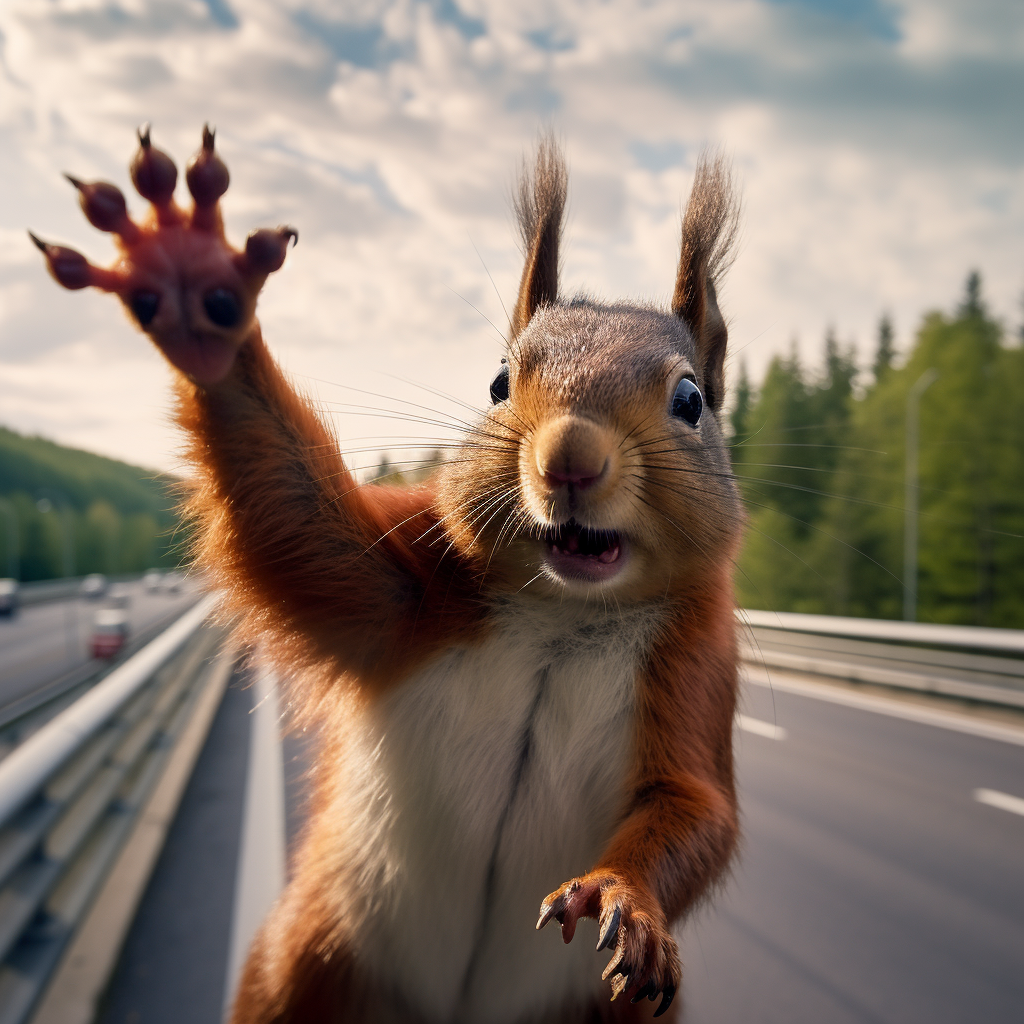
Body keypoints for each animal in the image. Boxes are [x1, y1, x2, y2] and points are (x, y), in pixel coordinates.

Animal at [34, 128, 745, 1024]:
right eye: (497, 383)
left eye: (690, 402)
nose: (570, 457)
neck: (562, 611)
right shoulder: (412, 588)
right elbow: (302, 536)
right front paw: (191, 287)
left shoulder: (697, 665)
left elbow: (694, 805)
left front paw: (627, 900)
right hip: (308, 965)